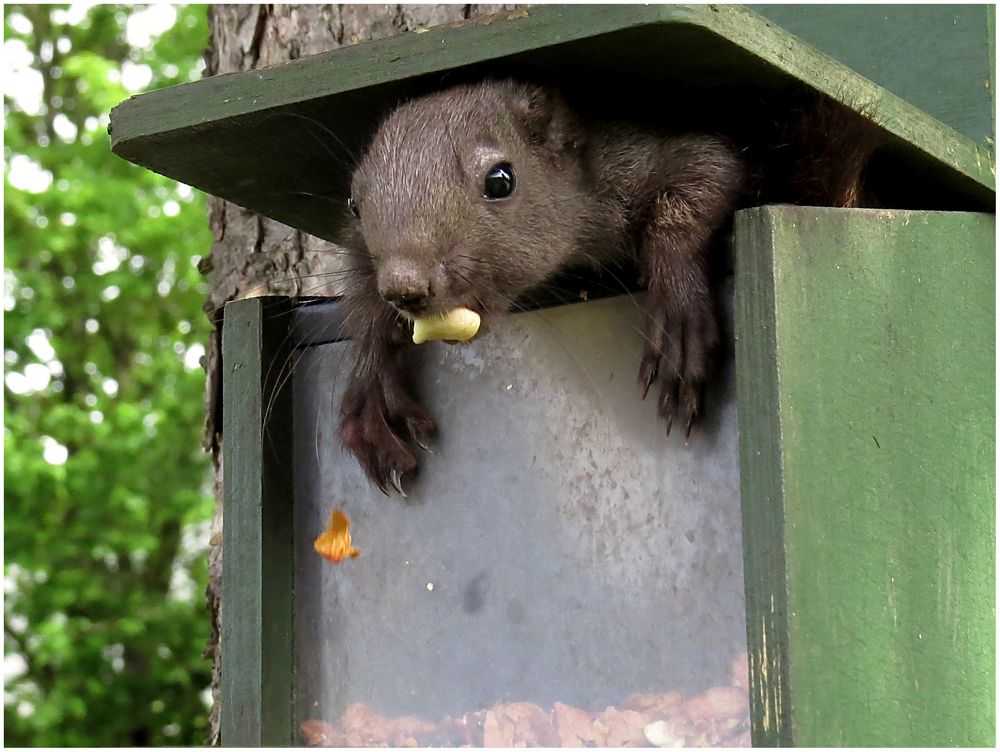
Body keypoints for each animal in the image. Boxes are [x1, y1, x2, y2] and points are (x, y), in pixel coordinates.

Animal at [334, 81, 876, 494]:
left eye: (501, 180)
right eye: (354, 202)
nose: (405, 287)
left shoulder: (635, 153)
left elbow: (708, 170)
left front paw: (678, 307)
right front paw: (371, 378)